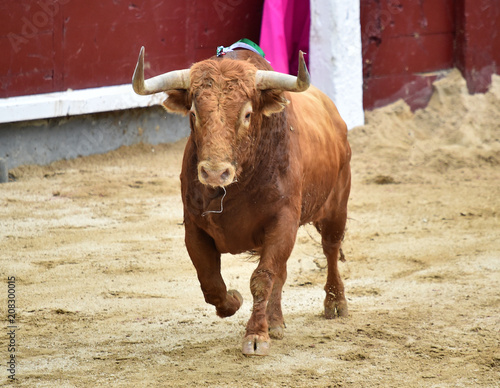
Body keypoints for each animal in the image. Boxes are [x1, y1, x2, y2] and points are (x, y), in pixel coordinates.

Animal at [133, 44, 352, 354]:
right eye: (193, 113)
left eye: (247, 115)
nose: (215, 172)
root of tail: (333, 113)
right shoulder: (194, 226)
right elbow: (211, 282)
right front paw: (234, 302)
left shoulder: (283, 221)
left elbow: (262, 278)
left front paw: (256, 335)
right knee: (283, 272)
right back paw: (276, 321)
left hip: (337, 205)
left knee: (330, 249)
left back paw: (335, 302)